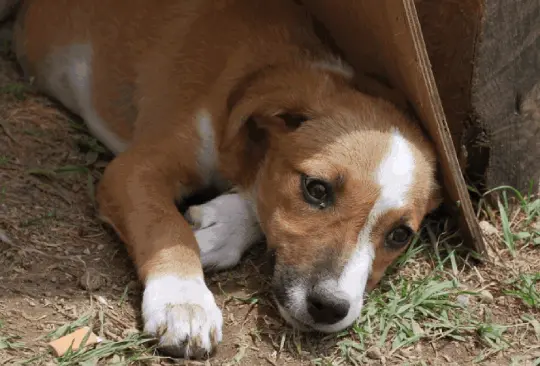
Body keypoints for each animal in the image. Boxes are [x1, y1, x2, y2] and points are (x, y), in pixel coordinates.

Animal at [6, 0, 440, 360]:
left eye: (400, 235)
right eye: (316, 189)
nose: (330, 308)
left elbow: (258, 204)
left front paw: (220, 229)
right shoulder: (133, 169)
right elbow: (165, 226)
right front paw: (183, 300)